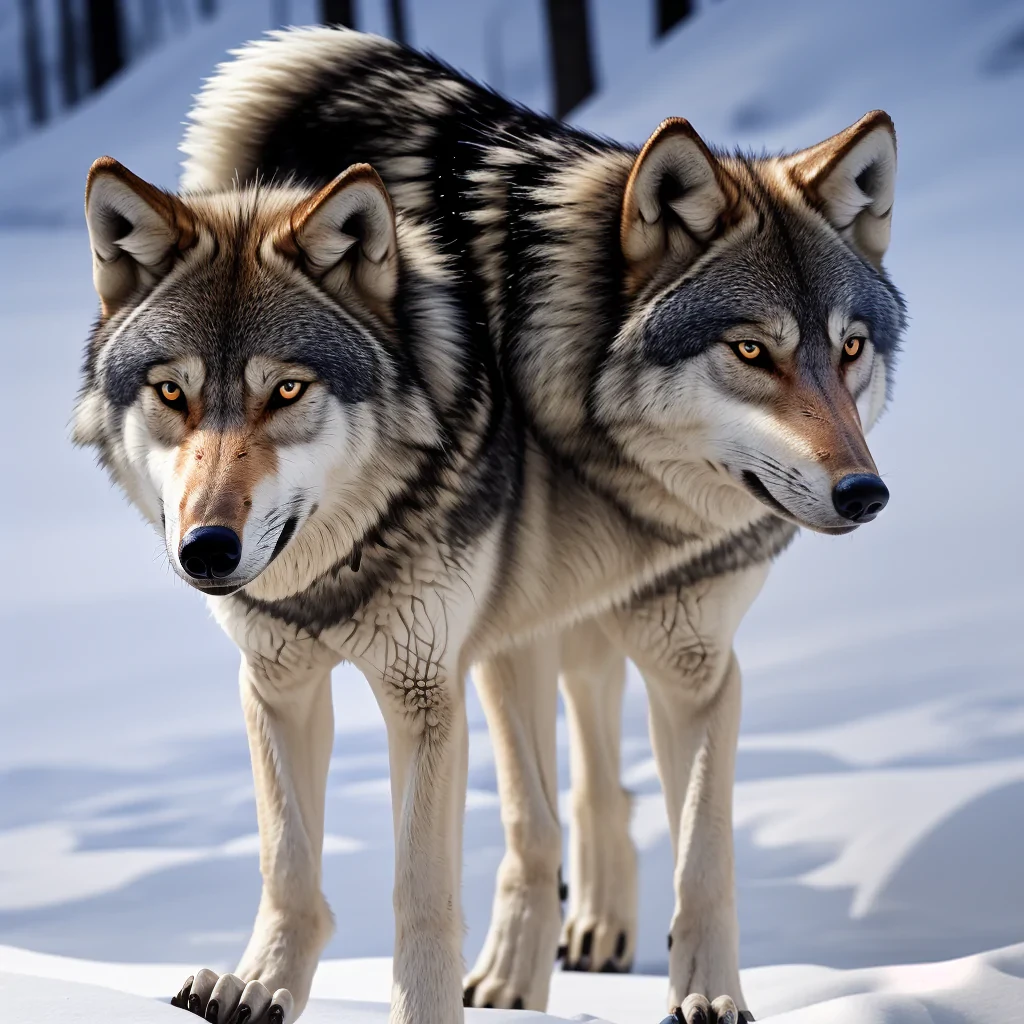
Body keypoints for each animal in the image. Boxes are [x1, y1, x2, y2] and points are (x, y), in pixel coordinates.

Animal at [74, 25, 904, 1024]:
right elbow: (291, 862)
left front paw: (706, 998)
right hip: (525, 637)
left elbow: (680, 859)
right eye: (173, 394)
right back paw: (540, 958)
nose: (863, 493)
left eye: (849, 349)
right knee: (557, 792)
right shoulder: (281, 680)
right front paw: (258, 987)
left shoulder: (634, 667)